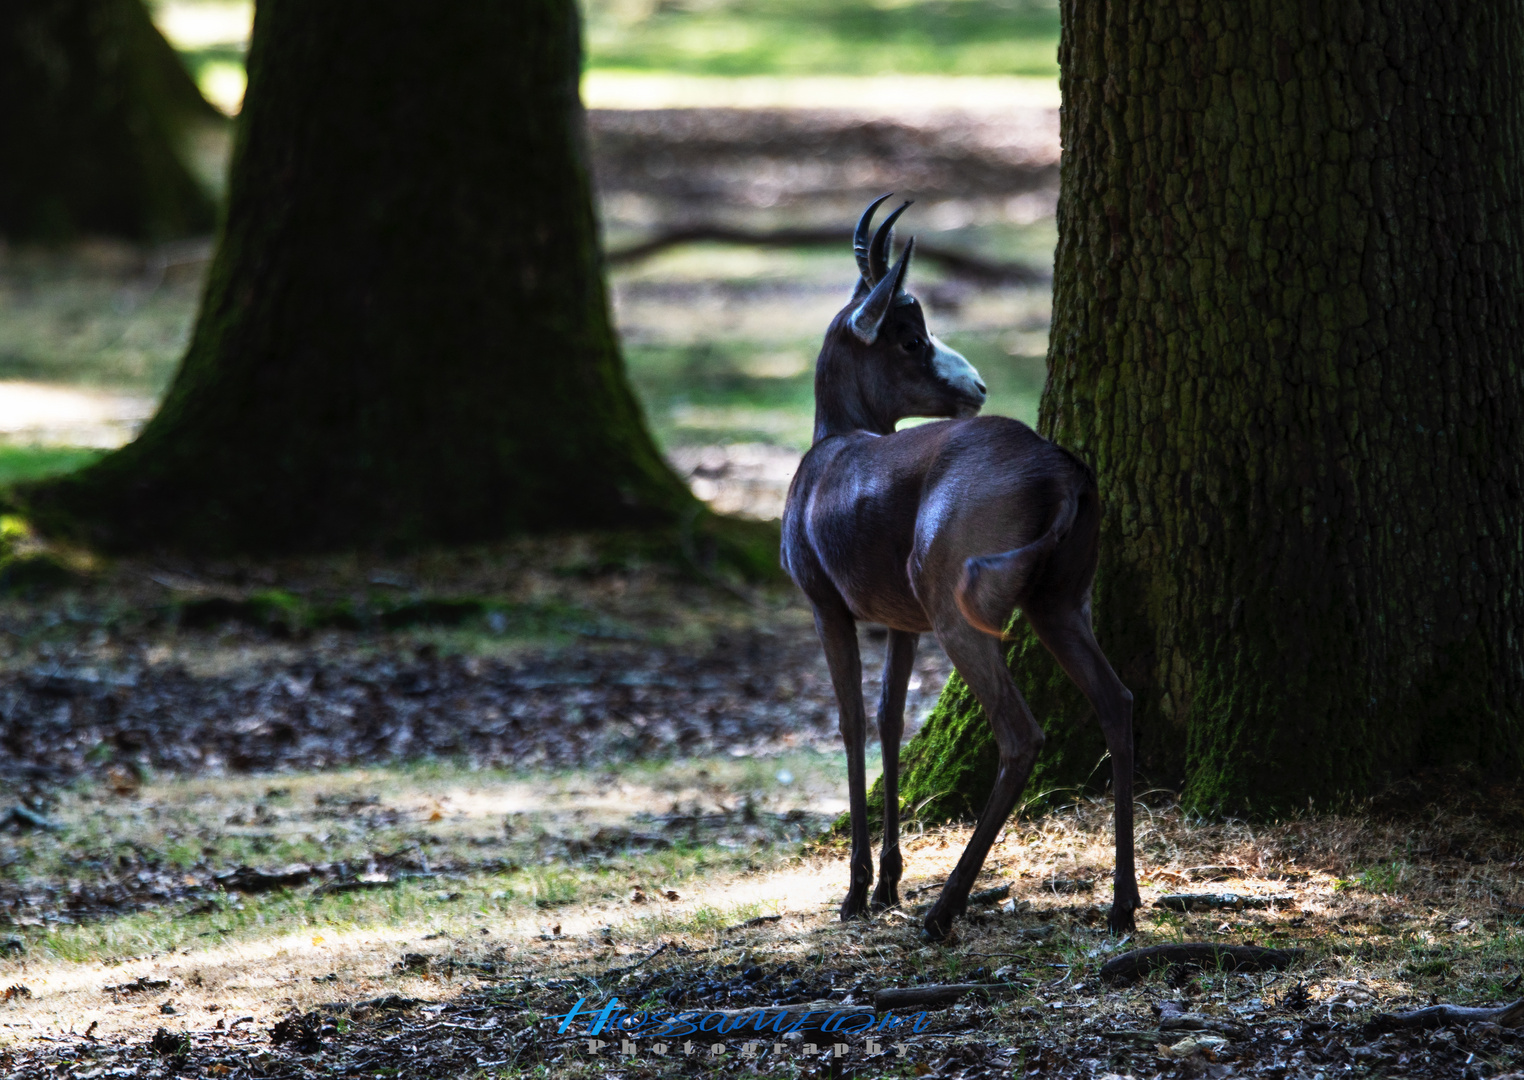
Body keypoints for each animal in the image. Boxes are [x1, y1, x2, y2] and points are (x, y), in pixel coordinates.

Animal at [780, 198, 1139, 938]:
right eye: (909, 340)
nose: (975, 385)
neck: (833, 454)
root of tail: (1055, 465)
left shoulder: (829, 610)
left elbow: (851, 722)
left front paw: (856, 890)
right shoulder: (901, 625)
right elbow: (889, 719)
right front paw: (888, 881)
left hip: (962, 620)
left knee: (1022, 735)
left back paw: (943, 911)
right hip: (1058, 607)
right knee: (1117, 703)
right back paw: (1122, 904)